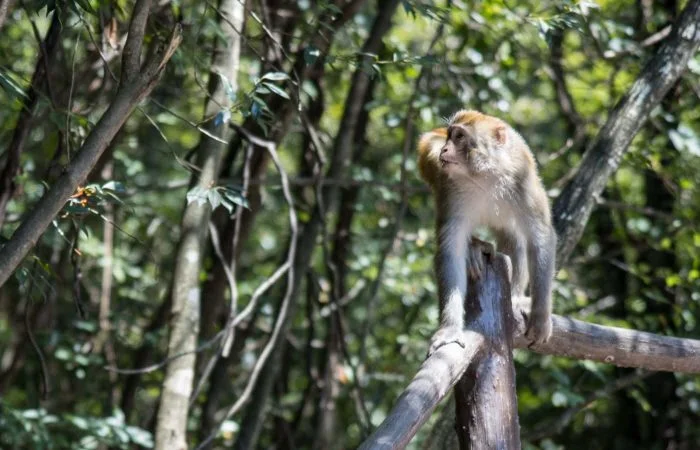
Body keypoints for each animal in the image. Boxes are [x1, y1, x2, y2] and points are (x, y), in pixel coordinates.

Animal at [417, 110, 556, 354]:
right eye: (450, 136)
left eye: (460, 137)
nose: (444, 149)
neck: (485, 174)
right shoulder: (451, 189)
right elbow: (451, 249)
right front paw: (450, 329)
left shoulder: (523, 181)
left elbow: (540, 238)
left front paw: (540, 319)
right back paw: (474, 247)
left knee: (514, 238)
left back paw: (515, 297)